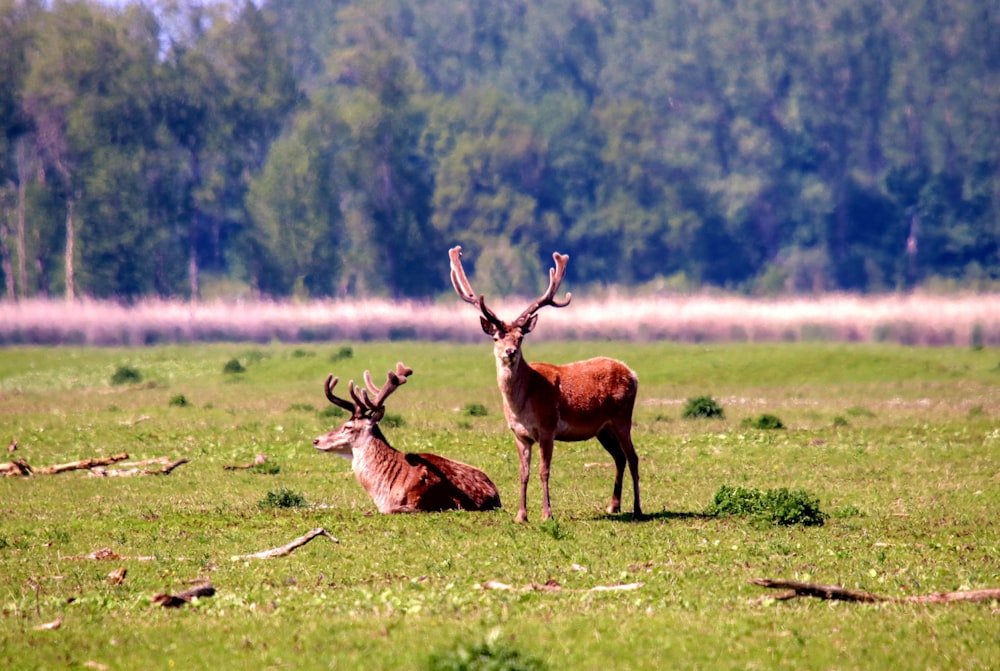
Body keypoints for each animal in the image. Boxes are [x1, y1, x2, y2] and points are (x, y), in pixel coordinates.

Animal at [452, 244, 644, 524]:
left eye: (520, 337)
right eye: (496, 337)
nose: (509, 352)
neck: (522, 403)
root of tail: (633, 373)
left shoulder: (547, 427)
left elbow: (544, 471)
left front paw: (547, 514)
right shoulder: (520, 434)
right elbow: (523, 473)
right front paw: (521, 515)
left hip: (622, 418)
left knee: (633, 457)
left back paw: (638, 509)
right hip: (603, 428)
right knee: (619, 457)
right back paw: (613, 506)